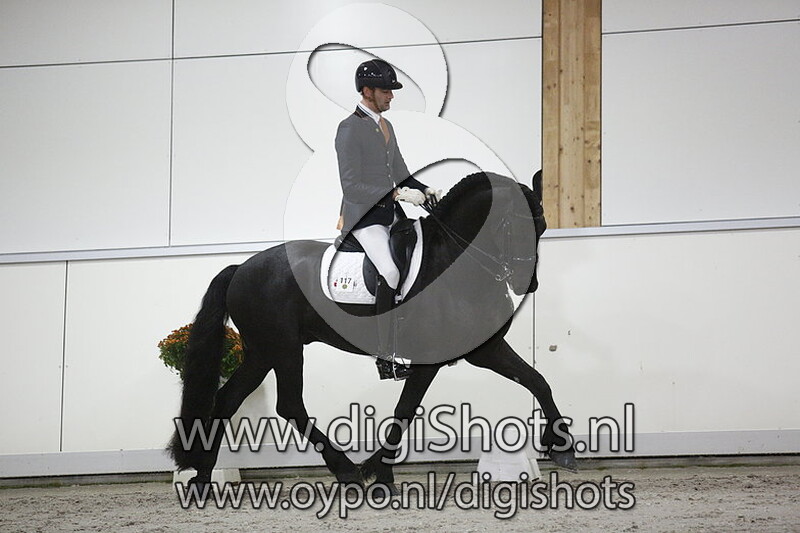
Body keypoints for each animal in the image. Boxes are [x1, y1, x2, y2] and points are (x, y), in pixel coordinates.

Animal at [168, 170, 577, 493]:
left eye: (541, 228)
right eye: (515, 226)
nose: (529, 284)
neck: (452, 262)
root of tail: (240, 268)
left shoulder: (486, 349)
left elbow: (538, 381)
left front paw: (563, 449)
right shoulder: (431, 360)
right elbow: (404, 411)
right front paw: (379, 471)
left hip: (261, 351)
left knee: (228, 400)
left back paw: (203, 480)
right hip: (282, 348)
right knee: (289, 405)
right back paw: (346, 470)